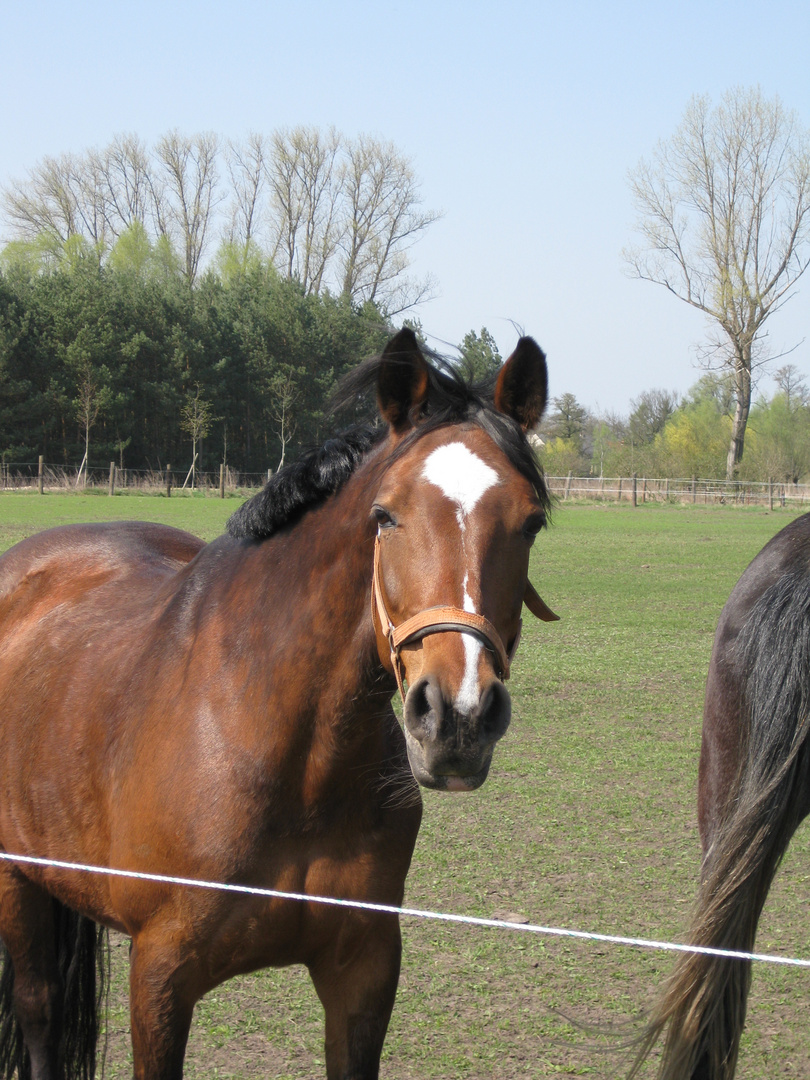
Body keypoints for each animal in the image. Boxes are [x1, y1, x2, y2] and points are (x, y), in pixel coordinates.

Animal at [0, 328, 557, 1080]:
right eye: (385, 515)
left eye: (531, 522)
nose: (457, 718)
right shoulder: (160, 977)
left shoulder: (364, 969)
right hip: (18, 884)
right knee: (39, 1012)